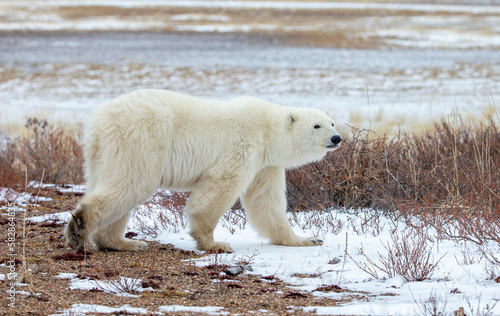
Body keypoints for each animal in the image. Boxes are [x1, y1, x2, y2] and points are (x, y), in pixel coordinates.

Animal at [64, 90, 342, 253]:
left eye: (332, 122)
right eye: (317, 125)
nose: (337, 138)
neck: (267, 130)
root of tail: (101, 119)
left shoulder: (266, 164)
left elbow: (266, 201)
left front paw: (306, 239)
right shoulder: (242, 146)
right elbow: (218, 188)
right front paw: (214, 243)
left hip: (100, 153)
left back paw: (125, 242)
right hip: (140, 138)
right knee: (131, 183)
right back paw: (80, 228)